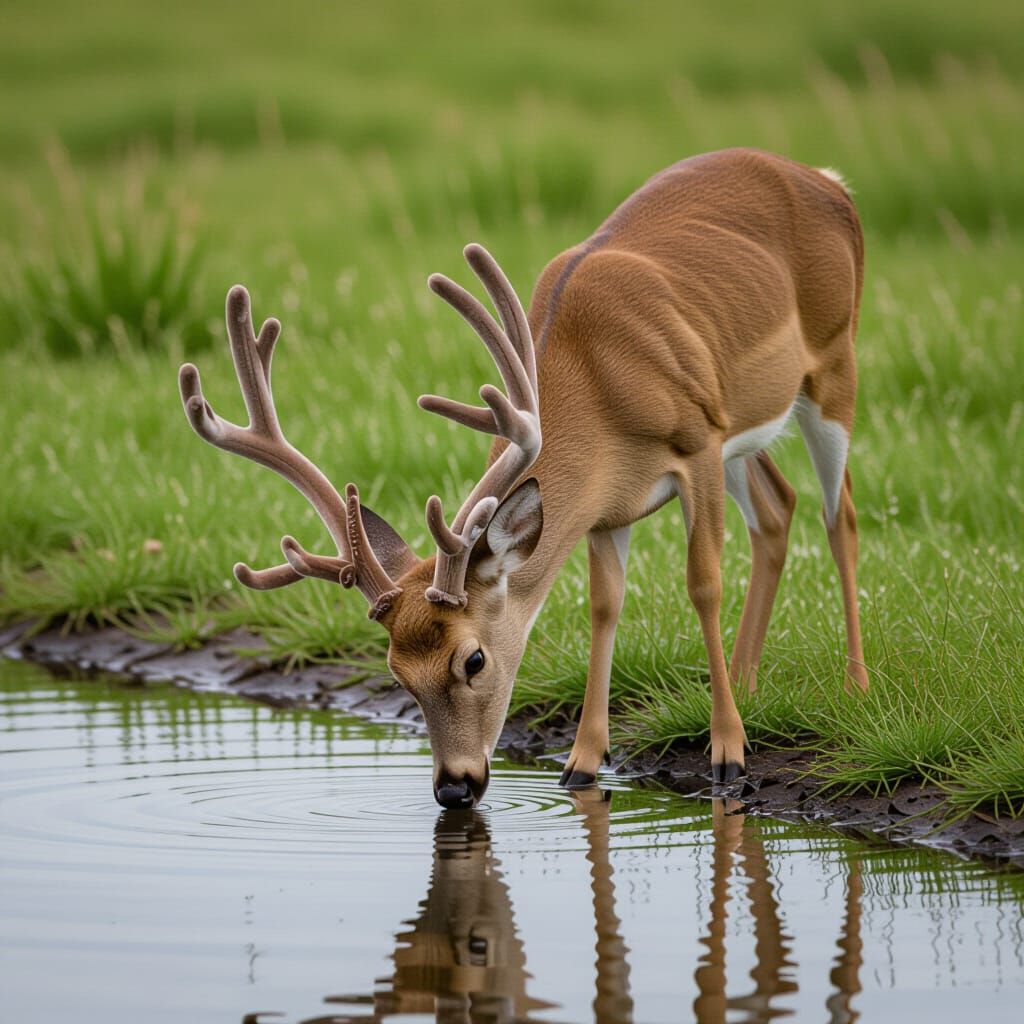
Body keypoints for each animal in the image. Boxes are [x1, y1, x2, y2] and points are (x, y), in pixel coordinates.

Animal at [178, 147, 869, 810]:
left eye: (474, 658)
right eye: (397, 673)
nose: (455, 787)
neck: (596, 383)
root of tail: (830, 181)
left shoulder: (697, 439)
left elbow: (703, 583)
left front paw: (728, 752)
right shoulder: (608, 506)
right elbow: (603, 605)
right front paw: (582, 762)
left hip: (832, 364)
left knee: (840, 515)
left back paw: (853, 686)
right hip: (745, 432)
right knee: (779, 507)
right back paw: (749, 678)